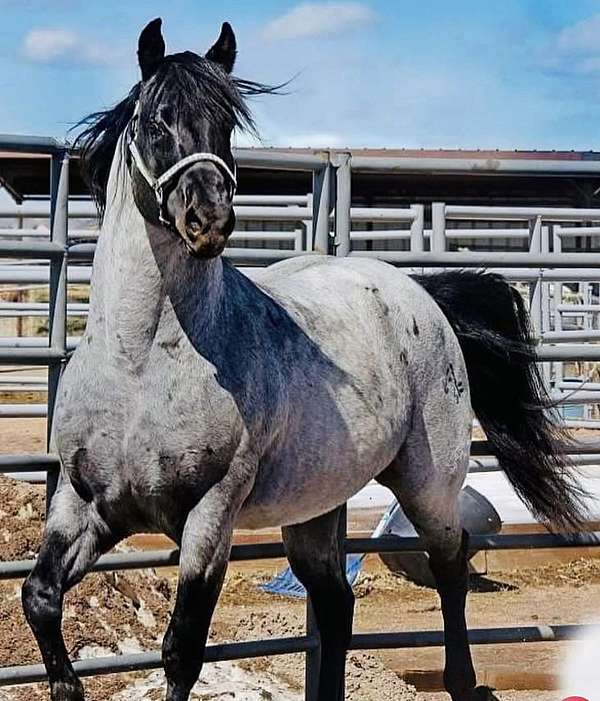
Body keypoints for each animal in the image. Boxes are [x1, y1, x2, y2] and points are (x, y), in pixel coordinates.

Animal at [21, 18, 585, 701]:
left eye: (227, 122)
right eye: (156, 121)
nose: (208, 217)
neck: (138, 366)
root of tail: (419, 295)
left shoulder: (211, 515)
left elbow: (181, 650)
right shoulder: (86, 503)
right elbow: (39, 596)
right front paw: (66, 685)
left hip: (428, 482)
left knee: (450, 561)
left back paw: (463, 681)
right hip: (315, 510)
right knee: (337, 603)